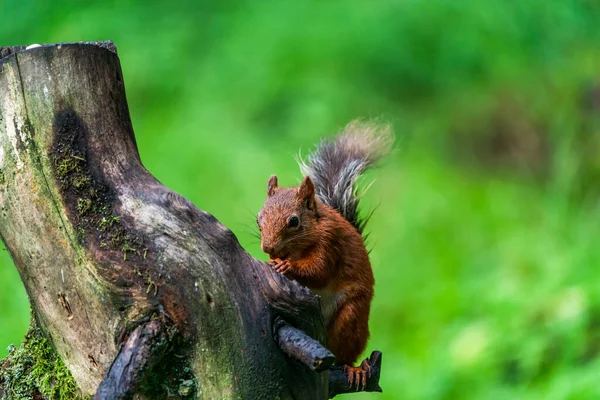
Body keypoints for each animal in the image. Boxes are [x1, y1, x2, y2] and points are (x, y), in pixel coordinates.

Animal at [255, 119, 392, 388]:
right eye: (259, 219)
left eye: (294, 221)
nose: (268, 247)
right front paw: (274, 262)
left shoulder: (331, 244)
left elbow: (319, 271)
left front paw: (288, 268)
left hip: (351, 318)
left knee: (343, 354)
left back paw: (354, 369)